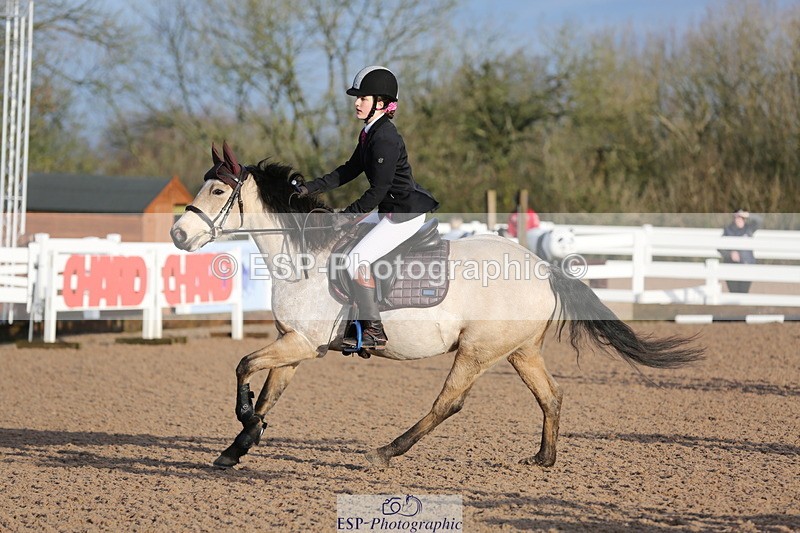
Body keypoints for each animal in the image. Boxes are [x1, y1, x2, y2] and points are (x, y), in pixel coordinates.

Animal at [170, 142, 704, 469]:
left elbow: (243, 366)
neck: (306, 256)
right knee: (550, 396)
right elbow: (267, 391)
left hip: (476, 351)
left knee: (450, 402)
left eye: (217, 189)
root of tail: (541, 267)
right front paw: (240, 445)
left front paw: (245, 425)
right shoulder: (295, 344)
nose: (178, 234)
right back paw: (543, 459)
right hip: (520, 350)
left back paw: (386, 452)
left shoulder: (301, 344)